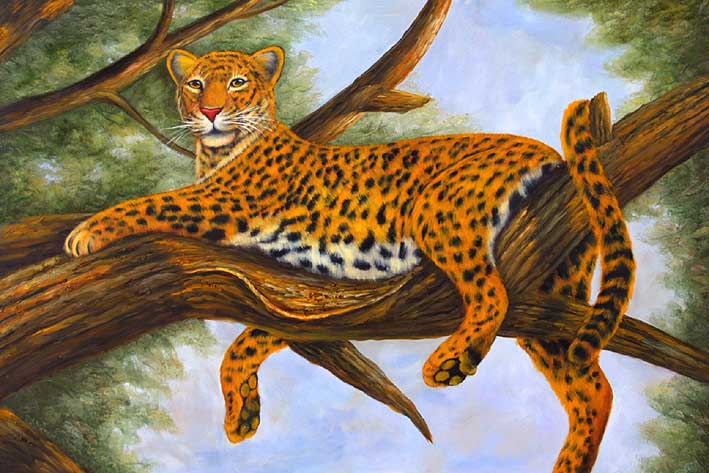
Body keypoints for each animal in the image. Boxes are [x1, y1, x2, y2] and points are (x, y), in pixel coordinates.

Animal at [64, 46, 635, 472]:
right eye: (197, 84)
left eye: (238, 83)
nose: (209, 112)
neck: (217, 153)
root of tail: (542, 148)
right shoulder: (294, 290)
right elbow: (246, 343)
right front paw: (242, 413)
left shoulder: (224, 204)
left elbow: (152, 203)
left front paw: (87, 231)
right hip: (552, 294)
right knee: (594, 386)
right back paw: (569, 461)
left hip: (440, 211)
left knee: (491, 292)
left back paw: (452, 360)